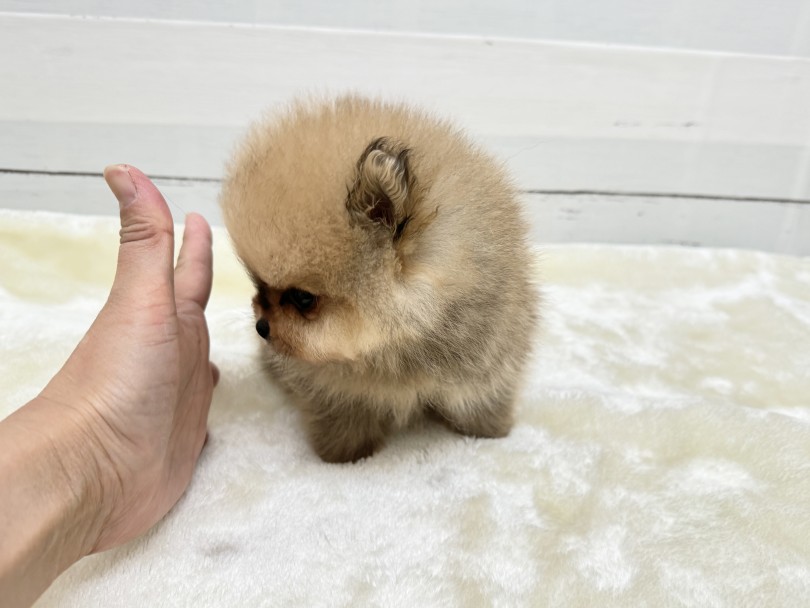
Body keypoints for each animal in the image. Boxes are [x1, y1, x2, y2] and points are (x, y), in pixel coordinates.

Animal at [221, 95, 536, 464]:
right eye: (258, 284)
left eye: (303, 298)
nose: (261, 327)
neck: (394, 343)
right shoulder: (337, 392)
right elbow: (344, 420)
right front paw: (345, 458)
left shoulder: (485, 362)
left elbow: (482, 398)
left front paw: (489, 432)